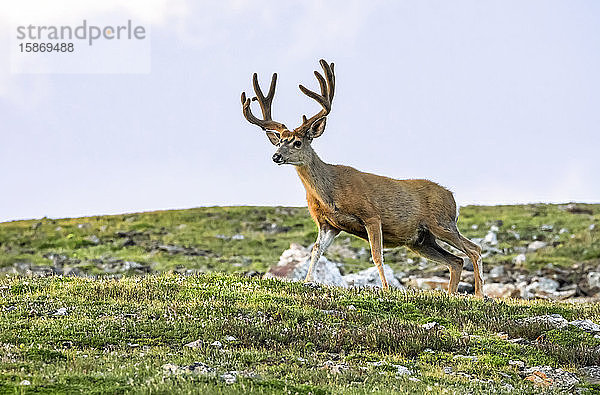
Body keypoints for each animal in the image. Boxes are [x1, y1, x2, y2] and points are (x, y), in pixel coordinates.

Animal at [240, 58, 482, 296]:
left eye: (297, 142)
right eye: (280, 140)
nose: (276, 156)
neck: (330, 193)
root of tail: (453, 197)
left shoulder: (371, 215)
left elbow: (377, 254)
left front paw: (385, 288)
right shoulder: (328, 224)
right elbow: (316, 250)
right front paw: (308, 281)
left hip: (442, 223)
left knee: (474, 250)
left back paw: (479, 294)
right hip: (421, 240)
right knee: (456, 261)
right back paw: (452, 294)